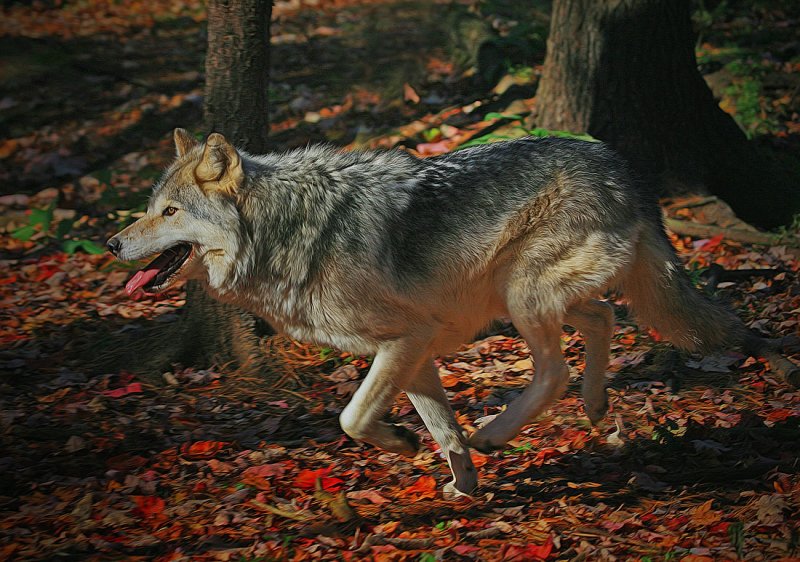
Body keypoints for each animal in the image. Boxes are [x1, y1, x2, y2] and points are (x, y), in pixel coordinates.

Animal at [109, 128, 796, 494]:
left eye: (170, 212)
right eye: (148, 208)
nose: (114, 244)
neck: (289, 230)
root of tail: (622, 167)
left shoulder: (406, 339)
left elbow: (351, 418)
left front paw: (409, 444)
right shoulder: (412, 351)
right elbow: (441, 428)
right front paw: (462, 483)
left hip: (522, 296)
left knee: (556, 370)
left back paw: (503, 430)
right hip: (527, 297)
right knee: (601, 319)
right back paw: (596, 405)